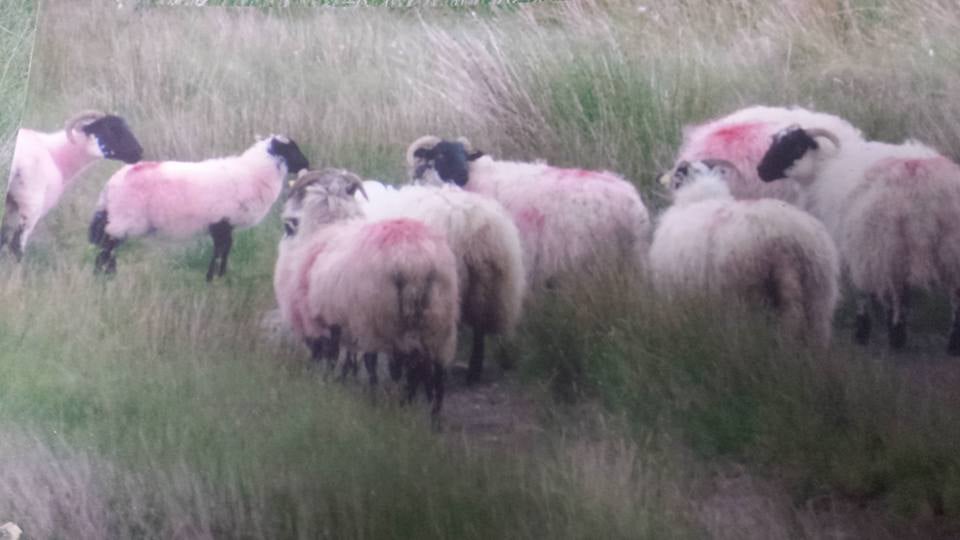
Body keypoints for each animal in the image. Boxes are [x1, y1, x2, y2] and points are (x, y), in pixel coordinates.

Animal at [2, 110, 143, 260]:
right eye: (110, 128)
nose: (139, 152)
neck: (57, 155)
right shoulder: (31, 207)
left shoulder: (11, 206)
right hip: (30, 204)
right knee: (17, 244)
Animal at [88, 135, 309, 280]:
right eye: (292, 150)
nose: (307, 164)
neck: (254, 172)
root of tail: (109, 186)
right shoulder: (221, 221)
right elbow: (221, 249)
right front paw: (212, 277)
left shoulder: (224, 223)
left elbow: (225, 248)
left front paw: (220, 276)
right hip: (123, 219)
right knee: (107, 247)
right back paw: (103, 276)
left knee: (109, 247)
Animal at [274, 168, 459, 415]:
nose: (287, 228)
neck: (327, 227)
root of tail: (414, 260)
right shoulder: (341, 321)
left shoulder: (324, 318)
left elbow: (332, 355)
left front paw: (325, 382)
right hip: (438, 319)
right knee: (434, 370)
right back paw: (431, 415)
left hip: (376, 317)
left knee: (392, 364)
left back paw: (389, 402)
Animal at [757, 125, 960, 354]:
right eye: (775, 142)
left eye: (795, 146)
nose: (761, 171)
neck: (823, 167)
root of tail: (925, 184)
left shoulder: (855, 245)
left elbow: (863, 292)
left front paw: (862, 332)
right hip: (948, 244)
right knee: (952, 296)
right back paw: (950, 343)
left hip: (885, 242)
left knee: (896, 291)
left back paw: (896, 336)